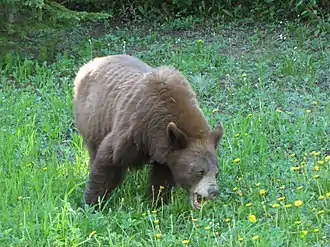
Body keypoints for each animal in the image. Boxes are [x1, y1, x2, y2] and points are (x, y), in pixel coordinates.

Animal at [73, 55, 224, 209]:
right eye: (200, 172)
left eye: (216, 173)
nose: (213, 191)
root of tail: (89, 64)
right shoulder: (133, 129)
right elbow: (108, 160)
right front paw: (93, 202)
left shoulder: (167, 151)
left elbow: (162, 177)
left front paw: (158, 202)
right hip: (92, 119)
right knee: (94, 149)